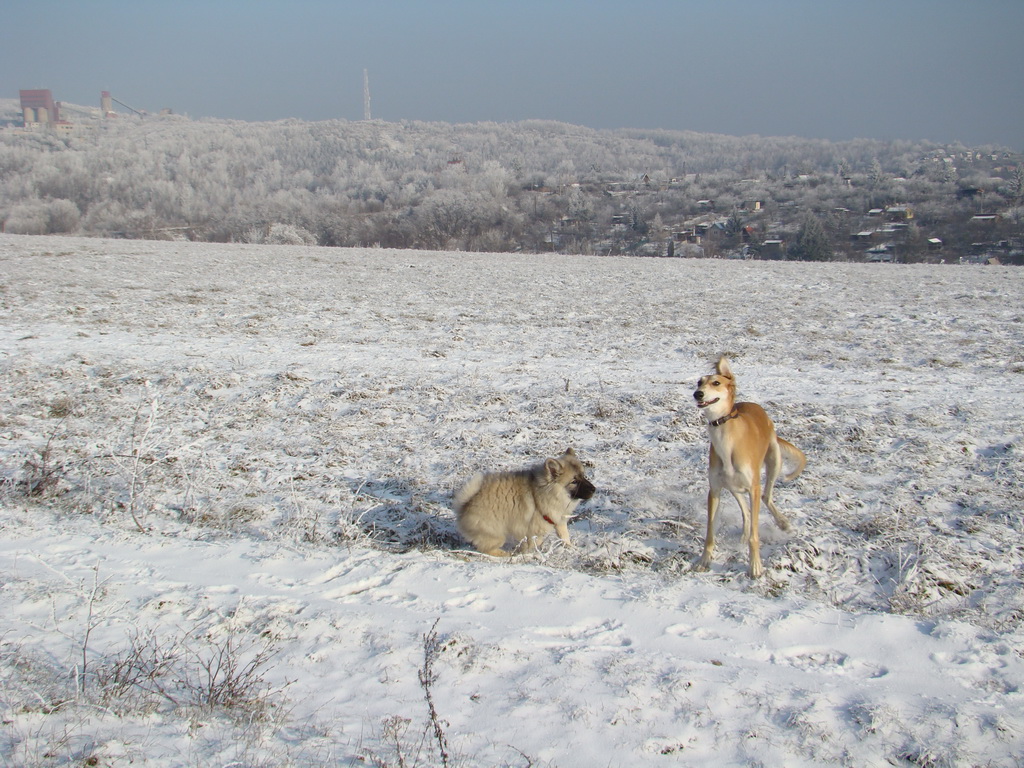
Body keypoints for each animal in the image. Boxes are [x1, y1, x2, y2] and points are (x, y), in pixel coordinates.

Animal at [454, 448, 598, 557]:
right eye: (574, 481)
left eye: (583, 476)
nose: (594, 489)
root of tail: (466, 504)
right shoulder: (534, 529)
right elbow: (535, 542)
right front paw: (526, 552)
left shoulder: (559, 521)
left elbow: (565, 537)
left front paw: (571, 548)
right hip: (496, 535)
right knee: (486, 549)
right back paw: (504, 554)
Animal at [692, 360, 802, 577]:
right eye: (699, 382)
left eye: (716, 382)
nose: (697, 394)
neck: (726, 438)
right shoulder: (715, 490)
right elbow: (710, 532)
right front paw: (704, 560)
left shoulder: (753, 487)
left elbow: (755, 536)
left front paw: (755, 566)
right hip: (733, 485)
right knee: (747, 511)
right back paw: (745, 532)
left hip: (773, 461)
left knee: (766, 497)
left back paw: (783, 522)